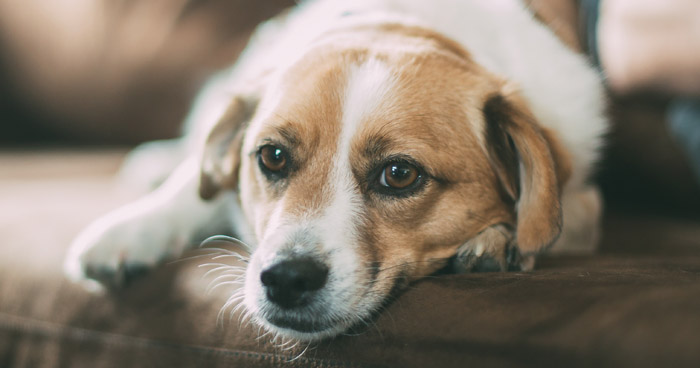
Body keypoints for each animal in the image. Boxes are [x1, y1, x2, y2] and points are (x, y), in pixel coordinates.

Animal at [64, 0, 608, 342]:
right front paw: (131, 230)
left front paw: (498, 239)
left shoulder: (583, 197)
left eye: (399, 174)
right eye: (272, 157)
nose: (285, 279)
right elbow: (194, 189)